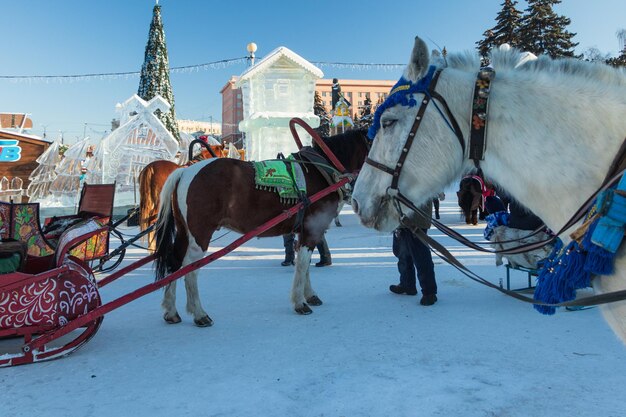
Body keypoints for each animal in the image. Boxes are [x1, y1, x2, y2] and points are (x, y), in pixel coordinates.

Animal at [153, 129, 368, 324]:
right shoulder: (312, 229)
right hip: (200, 234)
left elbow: (304, 264)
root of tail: (185, 171)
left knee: (174, 262)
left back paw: (171, 311)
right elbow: (303, 264)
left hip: (184, 232)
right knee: (190, 269)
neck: (321, 170)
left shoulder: (305, 231)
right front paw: (300, 302)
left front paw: (309, 295)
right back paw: (199, 313)